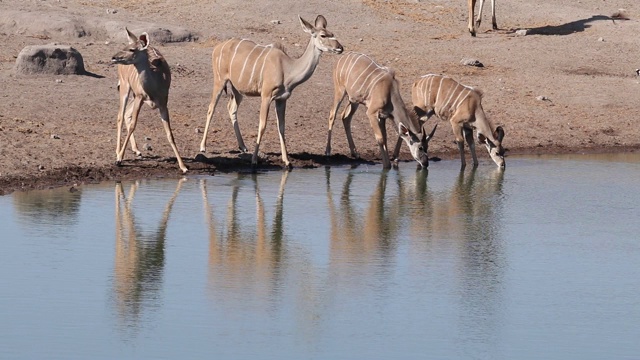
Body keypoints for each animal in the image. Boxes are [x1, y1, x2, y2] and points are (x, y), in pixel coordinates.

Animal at [110, 28, 188, 173]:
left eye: (132, 49)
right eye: (127, 47)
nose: (114, 57)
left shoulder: (163, 104)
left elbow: (170, 134)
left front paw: (183, 167)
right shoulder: (140, 98)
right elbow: (133, 125)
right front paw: (119, 159)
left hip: (133, 94)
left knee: (126, 114)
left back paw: (137, 151)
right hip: (125, 87)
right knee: (120, 115)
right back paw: (118, 152)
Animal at [200, 14, 342, 169]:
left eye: (332, 33)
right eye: (323, 35)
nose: (340, 48)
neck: (287, 68)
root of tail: (217, 47)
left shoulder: (281, 99)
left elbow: (282, 127)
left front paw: (287, 161)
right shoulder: (266, 96)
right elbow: (262, 125)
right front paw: (254, 160)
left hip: (238, 90)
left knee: (231, 108)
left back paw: (243, 146)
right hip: (219, 80)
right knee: (211, 108)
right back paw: (203, 147)